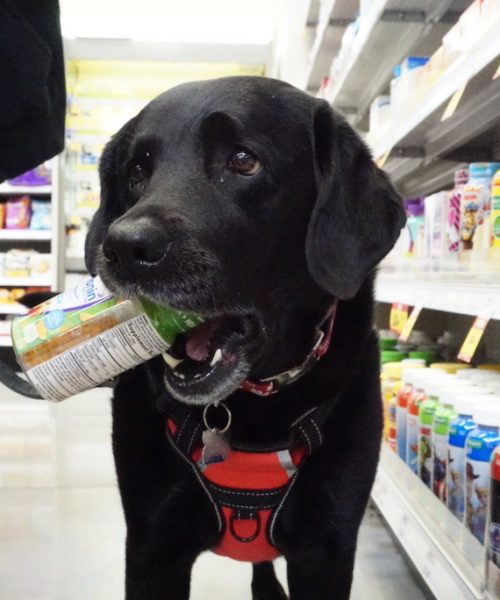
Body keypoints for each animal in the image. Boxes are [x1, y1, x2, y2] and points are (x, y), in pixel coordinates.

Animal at [85, 76, 406, 600]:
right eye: (136, 172)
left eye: (242, 160)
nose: (124, 247)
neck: (252, 407)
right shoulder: (154, 548)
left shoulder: (327, 550)